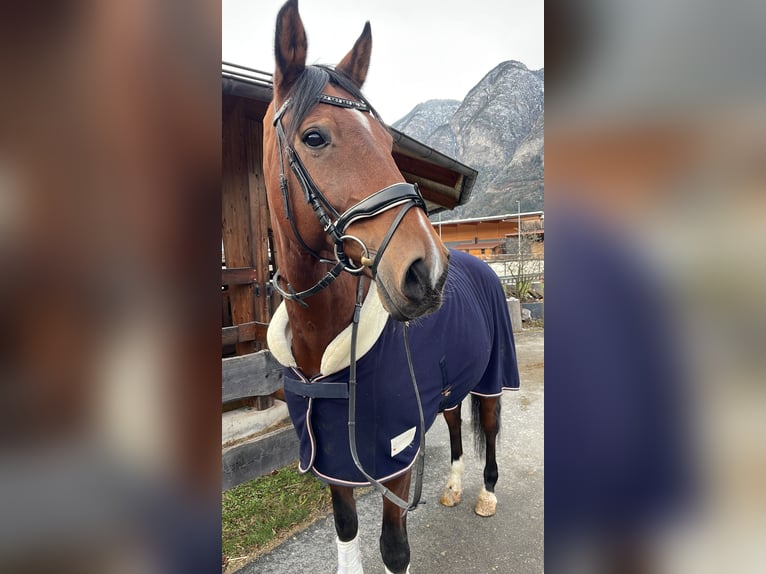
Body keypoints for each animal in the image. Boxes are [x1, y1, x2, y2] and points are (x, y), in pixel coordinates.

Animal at [264, 2, 520, 572]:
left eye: (387, 144)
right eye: (315, 137)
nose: (427, 270)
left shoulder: (396, 455)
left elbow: (393, 548)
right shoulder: (334, 457)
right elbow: (346, 533)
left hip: (492, 376)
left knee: (489, 428)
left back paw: (486, 494)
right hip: (448, 388)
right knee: (454, 428)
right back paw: (452, 486)